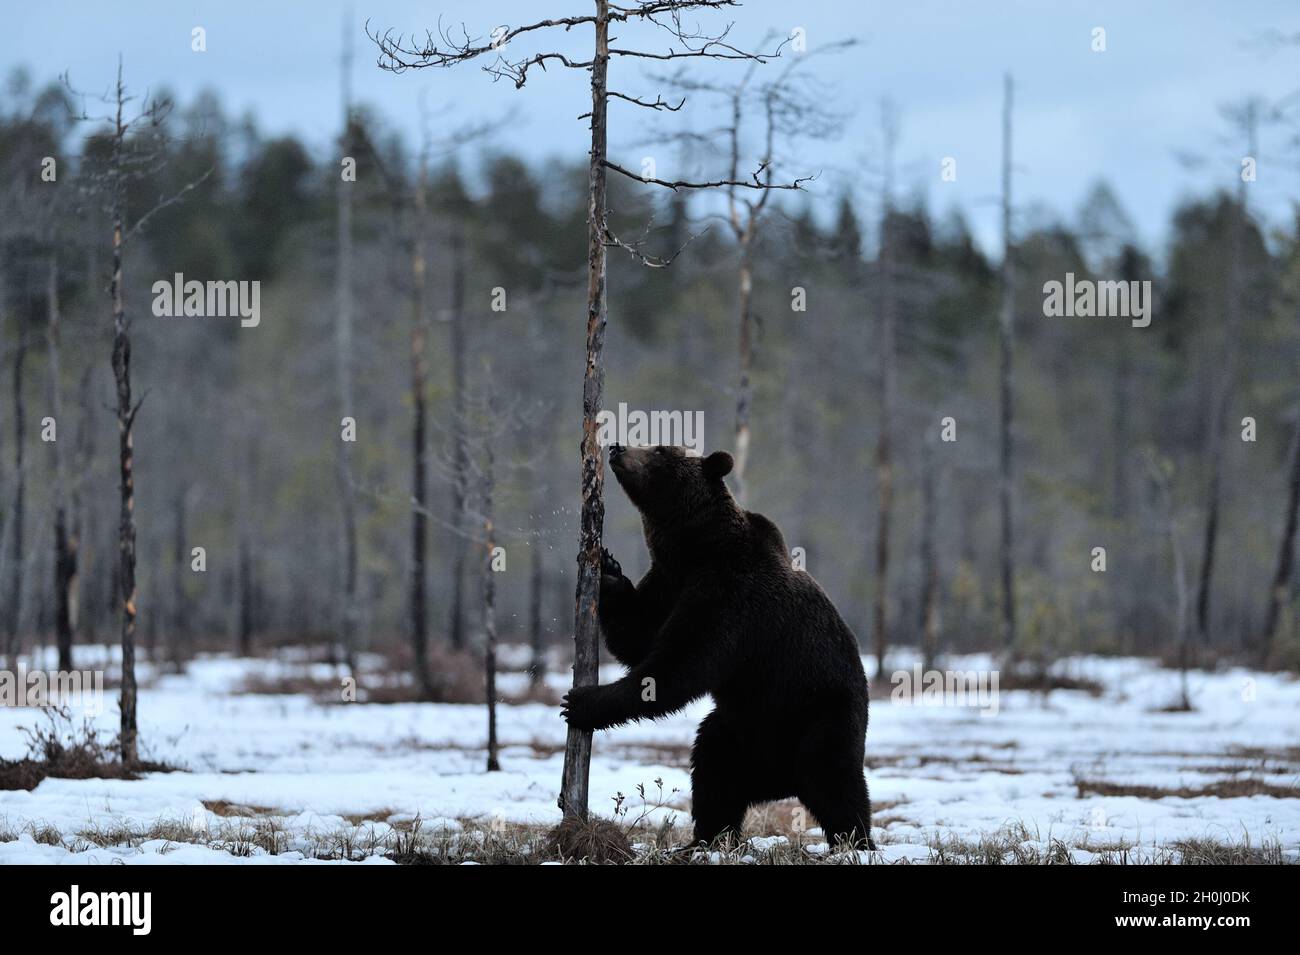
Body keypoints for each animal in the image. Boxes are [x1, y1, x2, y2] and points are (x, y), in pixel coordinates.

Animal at [561, 444, 874, 850]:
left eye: (660, 451)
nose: (617, 448)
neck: (697, 549)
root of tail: (781, 782)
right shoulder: (670, 581)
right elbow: (640, 637)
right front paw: (608, 570)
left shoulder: (734, 597)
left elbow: (679, 664)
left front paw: (582, 702)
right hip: (740, 731)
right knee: (714, 772)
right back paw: (705, 840)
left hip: (819, 714)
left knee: (834, 780)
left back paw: (856, 842)